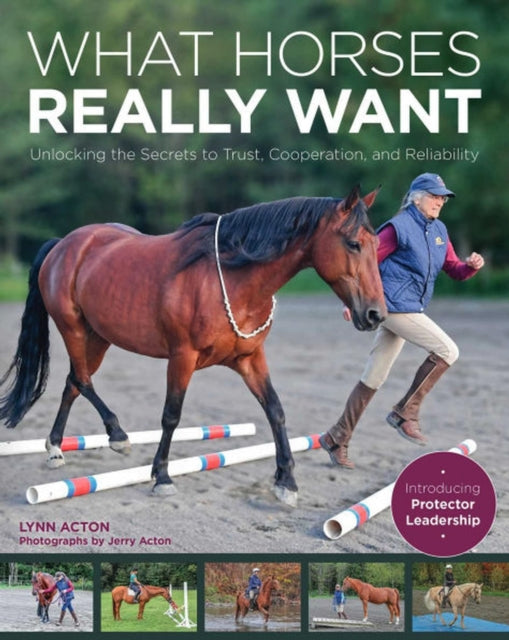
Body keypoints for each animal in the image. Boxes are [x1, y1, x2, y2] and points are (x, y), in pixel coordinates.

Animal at [0, 186, 385, 506]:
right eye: (353, 243)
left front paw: (286, 482)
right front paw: (162, 477)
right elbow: (171, 415)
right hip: (74, 329)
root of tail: (64, 244)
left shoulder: (250, 357)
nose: (375, 314)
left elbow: (275, 410)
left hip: (99, 337)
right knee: (81, 380)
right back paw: (117, 435)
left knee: (73, 382)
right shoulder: (182, 357)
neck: (232, 276)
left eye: (375, 243)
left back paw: (55, 448)